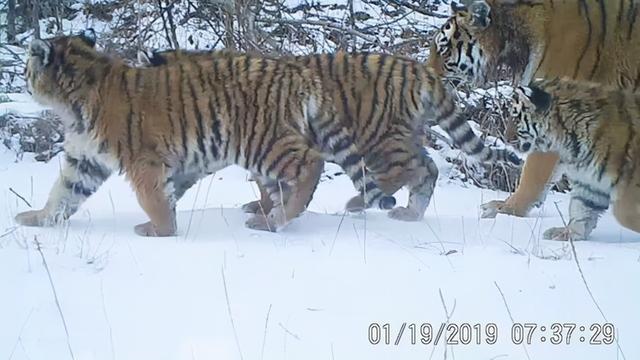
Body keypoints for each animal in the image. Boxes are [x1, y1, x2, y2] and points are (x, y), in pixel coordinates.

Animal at [510, 78, 640, 240]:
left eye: (515, 118)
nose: (506, 139)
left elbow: (625, 215)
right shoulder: (590, 183)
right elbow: (581, 210)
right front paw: (567, 233)